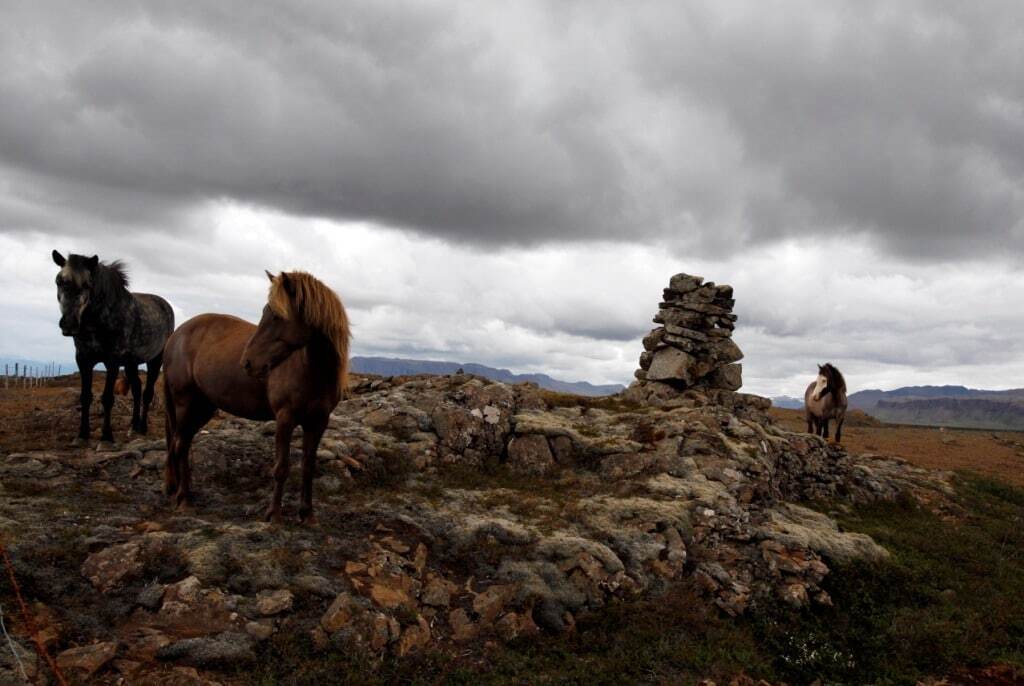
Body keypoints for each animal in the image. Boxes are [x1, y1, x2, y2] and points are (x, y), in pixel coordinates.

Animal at [52, 252, 175, 450]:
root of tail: (165, 305)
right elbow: (85, 396)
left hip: (155, 360)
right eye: (58, 281)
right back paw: (133, 425)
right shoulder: (83, 359)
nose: (69, 324)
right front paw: (82, 435)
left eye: (87, 284)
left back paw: (142, 427)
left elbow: (108, 398)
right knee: (137, 389)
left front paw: (106, 437)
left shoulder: (113, 361)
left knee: (147, 393)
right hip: (131, 363)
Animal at [161, 272, 350, 524]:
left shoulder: (318, 422)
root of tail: (175, 336)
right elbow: (281, 468)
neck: (313, 371)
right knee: (180, 445)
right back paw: (183, 499)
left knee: (182, 443)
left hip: (202, 407)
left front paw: (307, 514)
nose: (248, 363)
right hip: (185, 404)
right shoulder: (285, 418)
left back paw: (185, 491)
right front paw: (274, 514)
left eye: (277, 316)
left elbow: (308, 467)